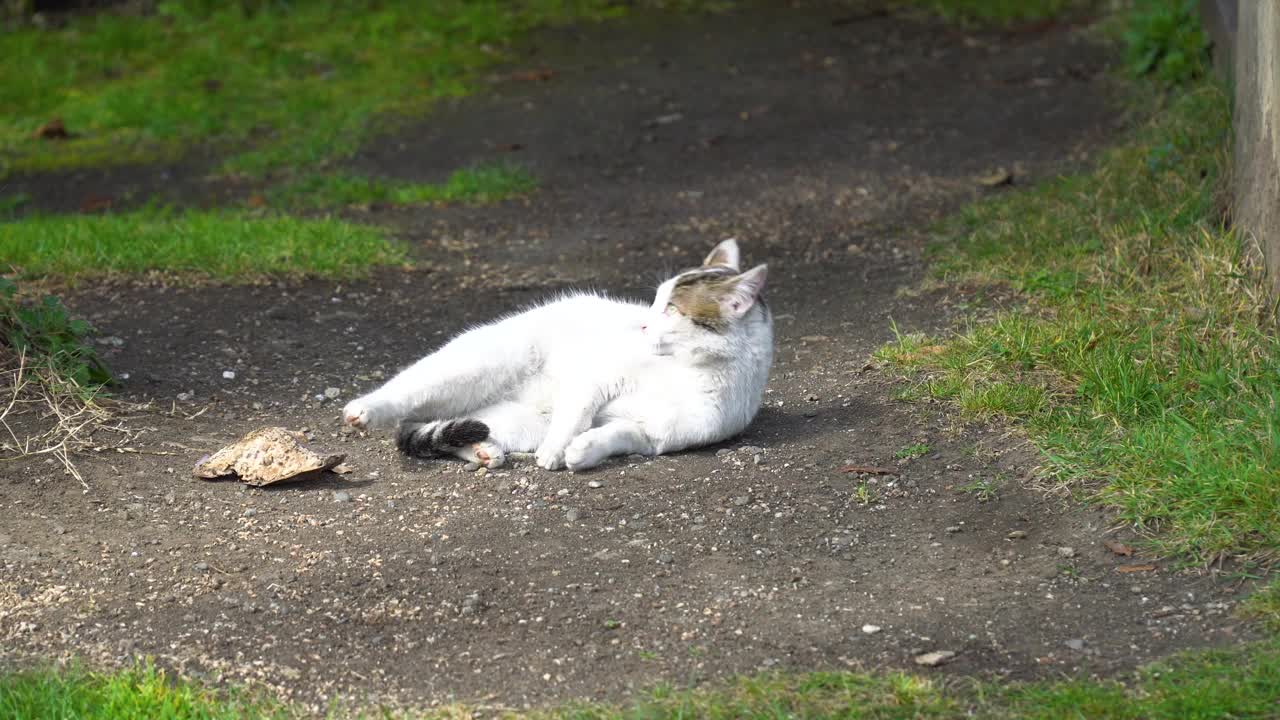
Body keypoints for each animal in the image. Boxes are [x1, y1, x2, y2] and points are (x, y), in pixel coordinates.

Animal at [340, 237, 773, 471]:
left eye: (670, 309)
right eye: (655, 301)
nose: (642, 325)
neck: (689, 370)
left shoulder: (656, 435)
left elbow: (618, 433)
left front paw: (582, 451)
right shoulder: (596, 376)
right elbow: (578, 413)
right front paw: (557, 450)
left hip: (519, 421)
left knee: (439, 423)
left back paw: (482, 449)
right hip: (473, 366)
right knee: (404, 399)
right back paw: (364, 410)